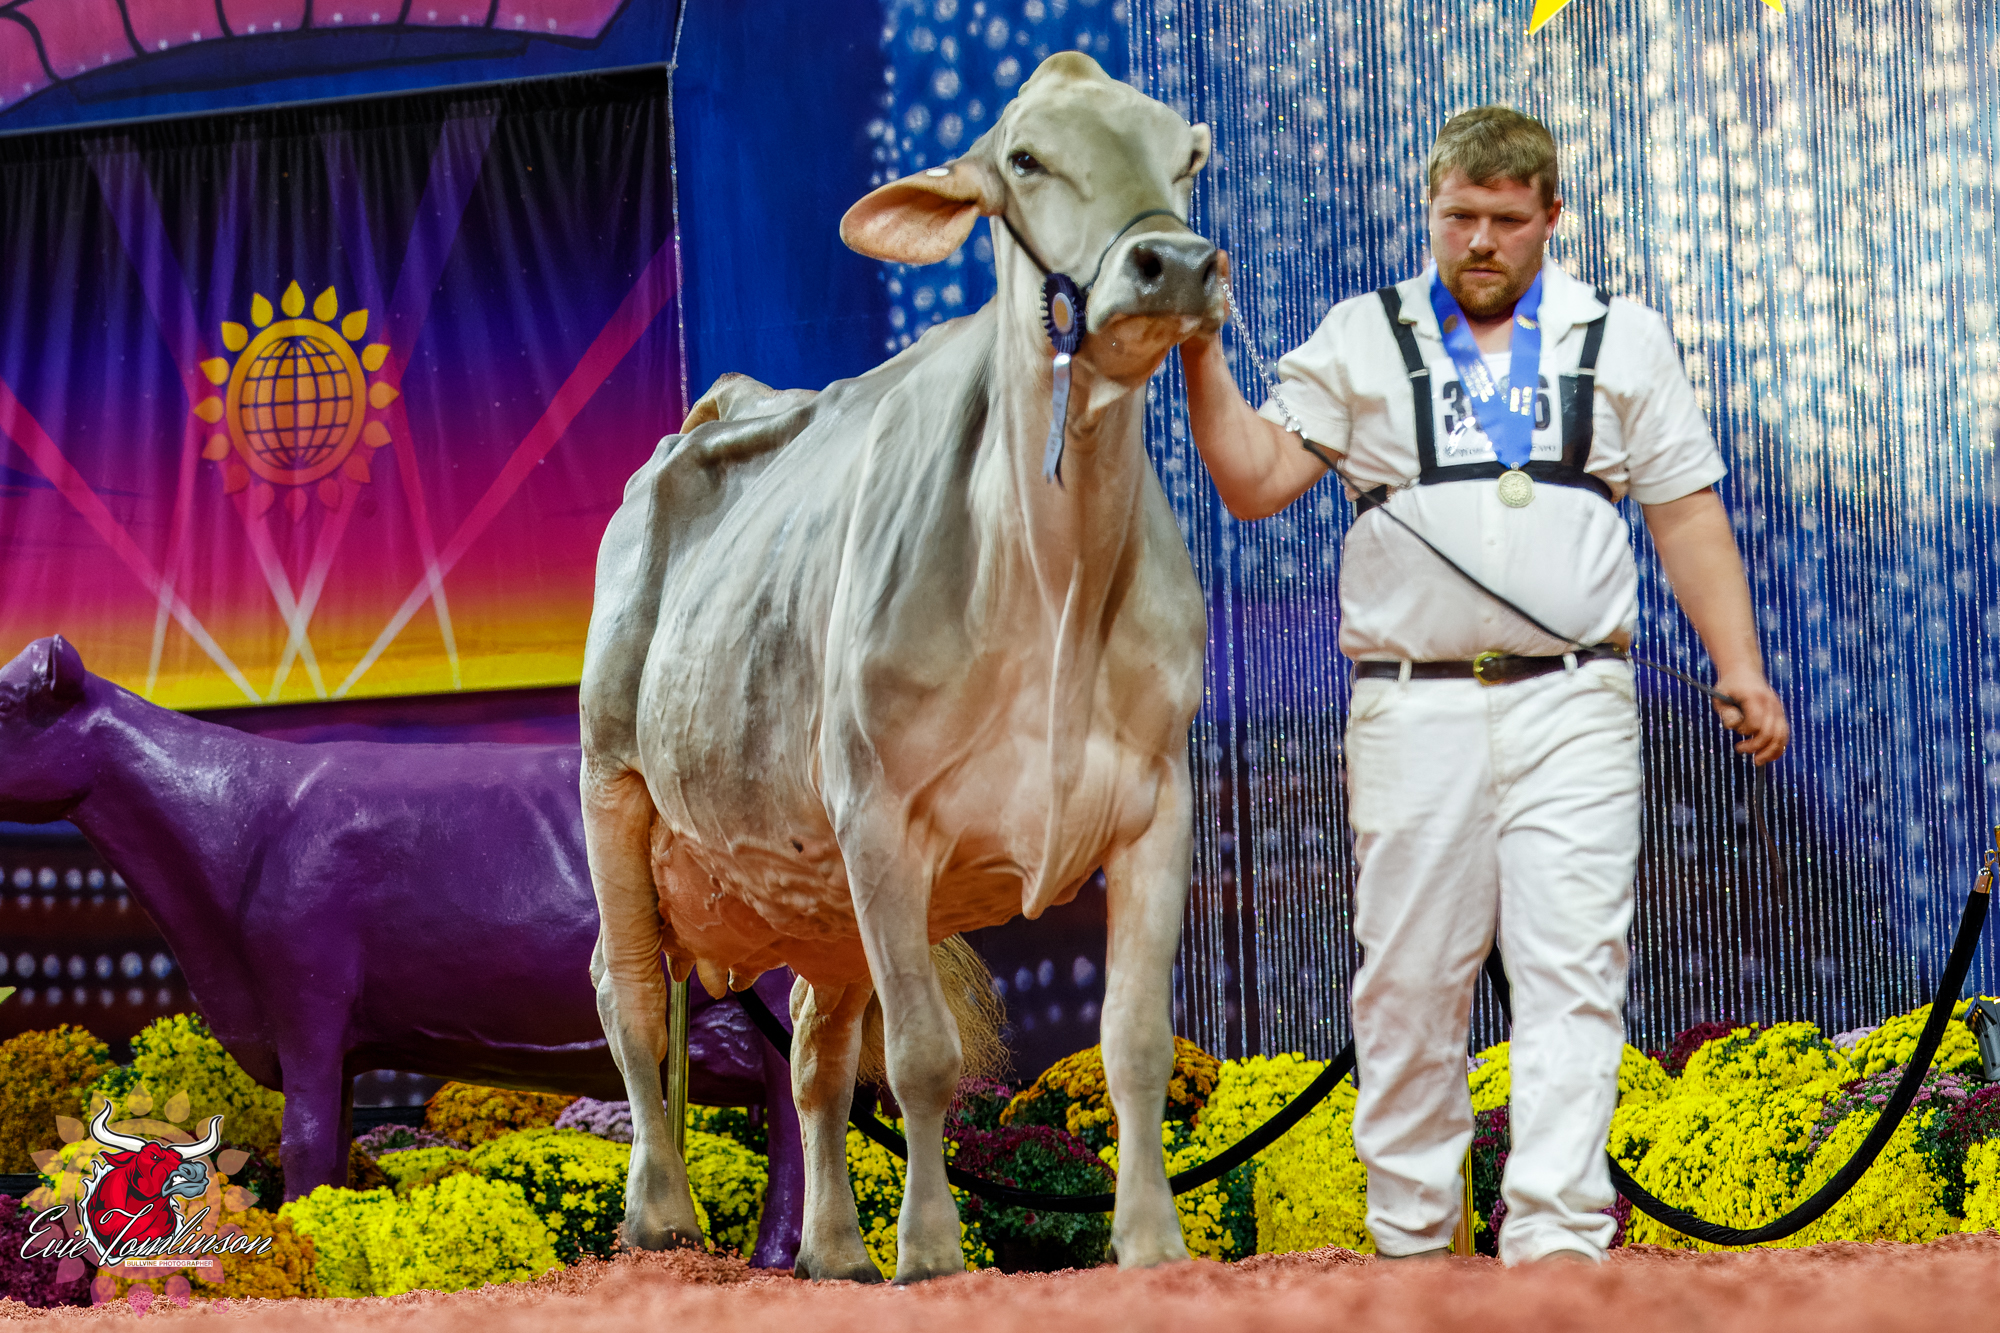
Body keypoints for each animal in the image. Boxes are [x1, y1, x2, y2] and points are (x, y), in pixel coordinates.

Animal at [581, 52, 1219, 1281]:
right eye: (1024, 157)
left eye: (1185, 154)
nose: (1175, 263)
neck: (1054, 587)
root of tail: (714, 409)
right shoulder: (880, 812)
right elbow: (922, 1054)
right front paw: (931, 1248)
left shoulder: (1157, 800)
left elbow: (1134, 1038)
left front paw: (1152, 1242)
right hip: (616, 786)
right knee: (631, 998)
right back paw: (662, 1216)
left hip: (818, 885)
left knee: (815, 1055)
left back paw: (832, 1247)